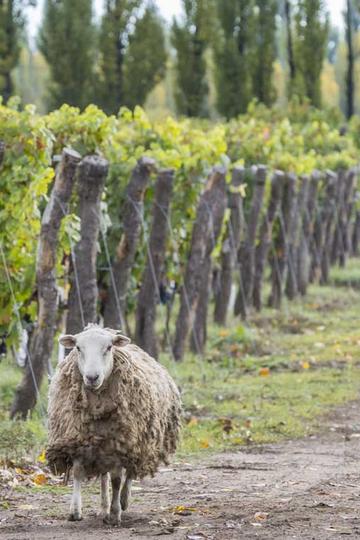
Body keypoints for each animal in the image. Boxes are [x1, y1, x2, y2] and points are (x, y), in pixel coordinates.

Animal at [47, 322, 183, 524]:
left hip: (137, 441)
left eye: (109, 347)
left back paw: (123, 501)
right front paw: (75, 511)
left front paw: (115, 513)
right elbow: (79, 472)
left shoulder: (119, 443)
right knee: (104, 476)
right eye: (78, 348)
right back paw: (103, 507)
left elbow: (117, 480)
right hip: (101, 445)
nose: (92, 377)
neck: (97, 406)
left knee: (130, 472)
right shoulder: (78, 438)